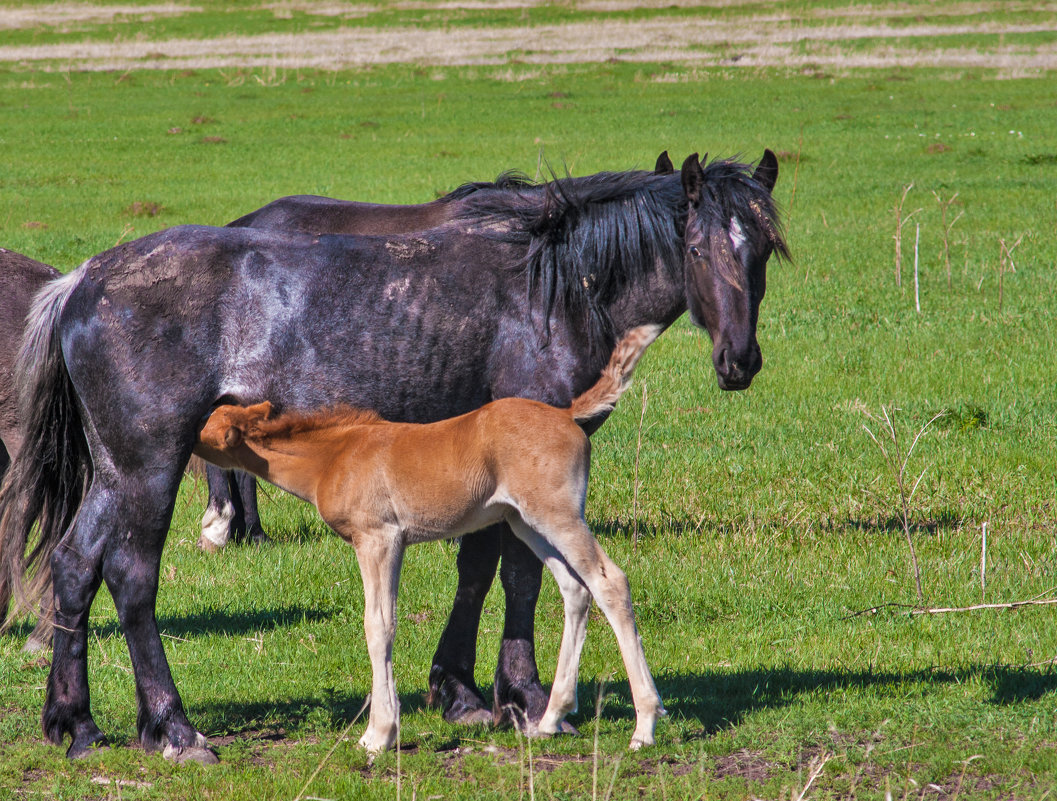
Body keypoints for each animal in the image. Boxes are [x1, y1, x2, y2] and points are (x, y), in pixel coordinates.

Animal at [194, 325, 663, 752]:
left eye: (204, 427)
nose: (179, 434)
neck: (332, 458)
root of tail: (567, 415)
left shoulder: (378, 539)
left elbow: (378, 624)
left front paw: (379, 735)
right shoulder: (393, 543)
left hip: (557, 515)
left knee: (609, 581)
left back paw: (644, 725)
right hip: (526, 522)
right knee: (575, 588)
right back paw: (549, 719)